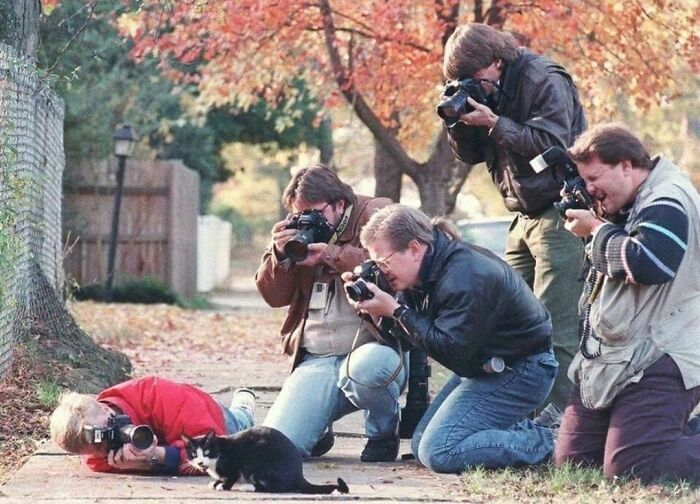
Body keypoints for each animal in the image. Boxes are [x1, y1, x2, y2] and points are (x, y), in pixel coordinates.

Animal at [183, 428, 350, 494]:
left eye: (206, 452)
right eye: (194, 454)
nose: (200, 463)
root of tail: (299, 475)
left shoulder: (233, 464)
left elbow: (231, 476)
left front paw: (223, 486)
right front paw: (216, 482)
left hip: (256, 462)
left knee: (275, 488)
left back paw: (248, 487)